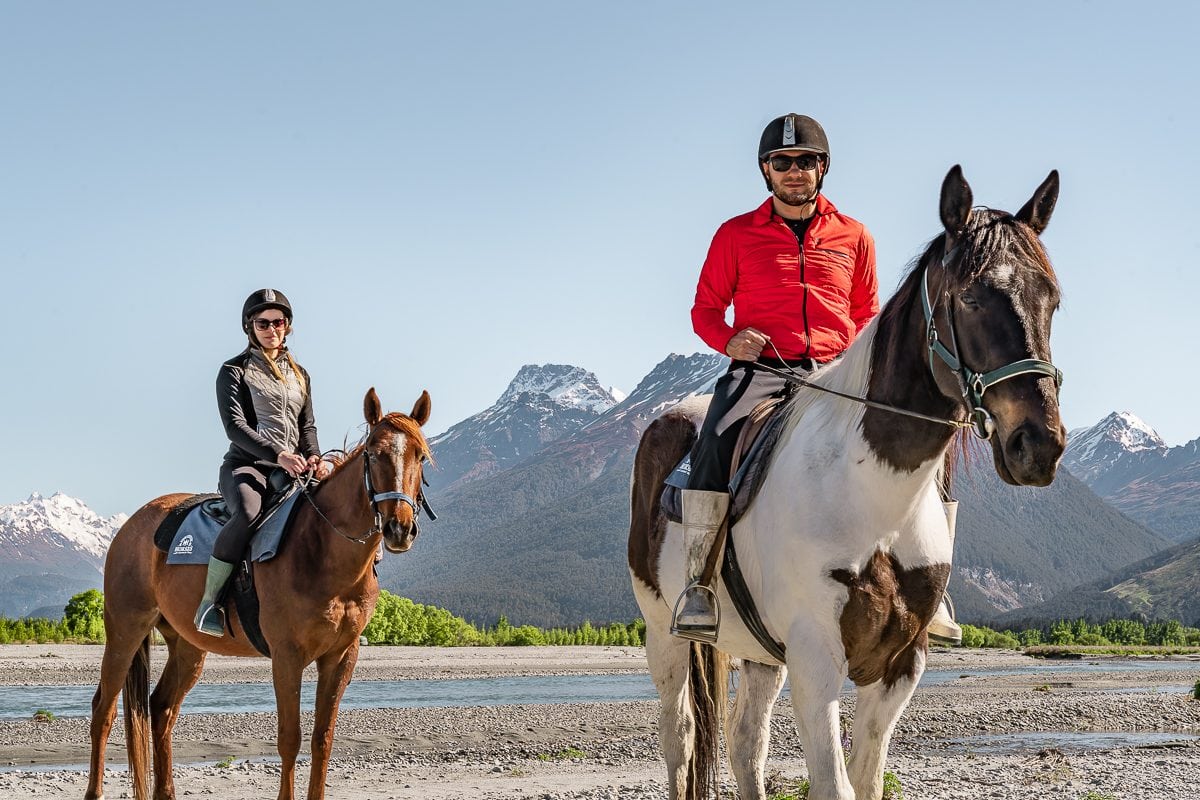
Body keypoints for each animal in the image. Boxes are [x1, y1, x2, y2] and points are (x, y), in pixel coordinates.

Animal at [85, 388, 432, 800]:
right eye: (374, 454)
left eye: (421, 455)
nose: (399, 529)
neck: (322, 550)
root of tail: (132, 526)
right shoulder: (287, 655)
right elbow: (290, 739)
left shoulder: (341, 657)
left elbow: (322, 739)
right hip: (125, 629)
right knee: (104, 709)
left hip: (187, 645)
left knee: (161, 708)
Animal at [628, 165, 1070, 796]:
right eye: (970, 297)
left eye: (1052, 299)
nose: (1038, 445)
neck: (872, 499)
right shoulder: (816, 663)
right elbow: (833, 784)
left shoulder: (899, 666)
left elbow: (865, 778)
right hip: (662, 633)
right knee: (681, 740)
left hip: (761, 655)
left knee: (745, 745)